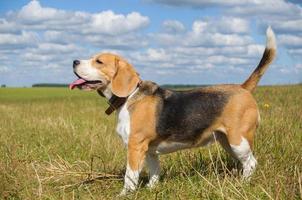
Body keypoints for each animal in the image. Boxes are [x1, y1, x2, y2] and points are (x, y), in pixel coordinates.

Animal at [70, 26, 276, 195]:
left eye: (98, 61)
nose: (74, 61)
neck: (128, 96)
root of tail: (242, 88)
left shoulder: (135, 146)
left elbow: (130, 175)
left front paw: (124, 194)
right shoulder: (150, 151)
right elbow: (154, 172)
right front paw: (151, 189)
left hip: (239, 140)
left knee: (251, 163)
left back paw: (243, 184)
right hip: (227, 141)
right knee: (244, 163)